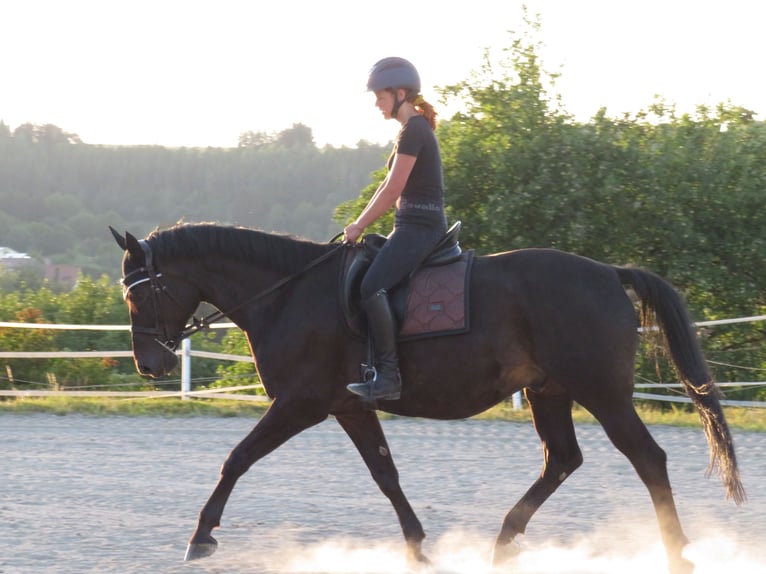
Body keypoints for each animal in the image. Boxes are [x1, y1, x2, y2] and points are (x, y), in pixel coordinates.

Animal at [109, 222, 744, 574]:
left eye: (139, 295)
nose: (151, 365)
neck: (288, 294)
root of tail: (609, 273)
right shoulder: (349, 406)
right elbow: (385, 475)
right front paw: (417, 548)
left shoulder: (300, 403)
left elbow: (236, 458)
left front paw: (201, 536)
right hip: (549, 391)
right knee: (563, 459)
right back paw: (504, 542)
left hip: (602, 393)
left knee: (647, 459)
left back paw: (677, 552)